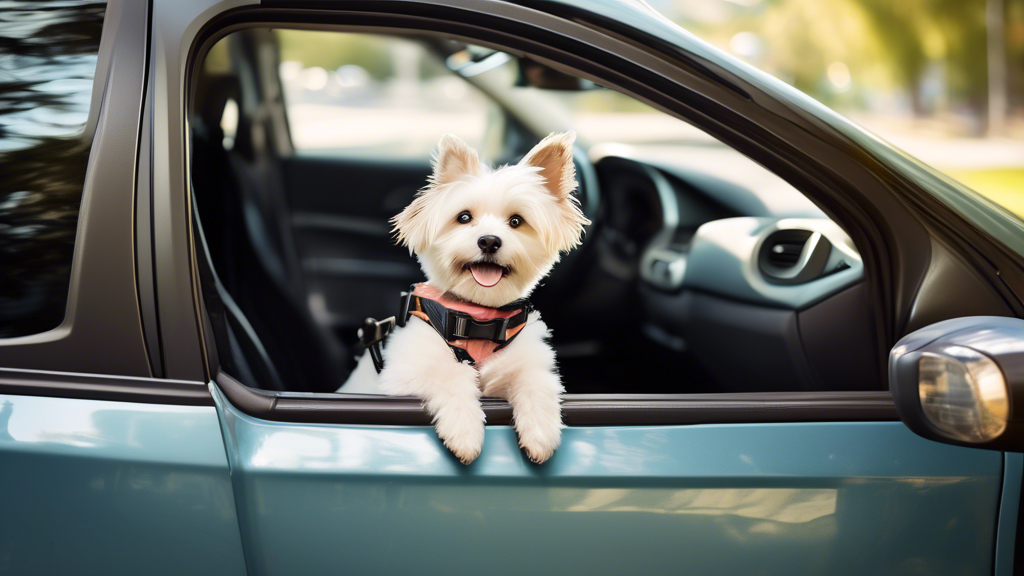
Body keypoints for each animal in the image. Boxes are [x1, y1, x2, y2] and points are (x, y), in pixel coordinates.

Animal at [364, 133, 589, 461]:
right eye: (464, 217)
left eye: (516, 221)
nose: (489, 241)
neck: (479, 317)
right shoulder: (401, 377)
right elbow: (450, 375)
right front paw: (465, 432)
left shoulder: (527, 362)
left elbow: (536, 382)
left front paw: (540, 433)